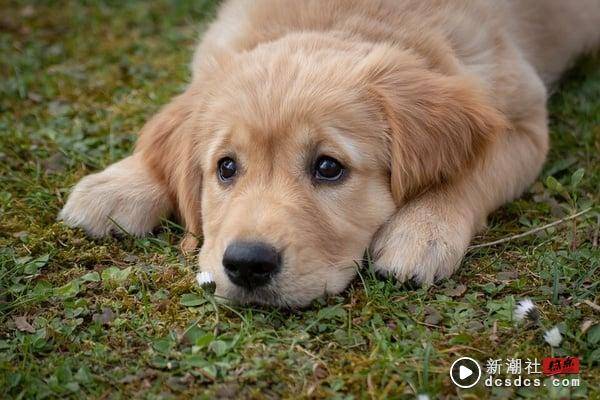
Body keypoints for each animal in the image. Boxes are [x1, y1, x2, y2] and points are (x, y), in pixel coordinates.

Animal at [59, 0, 600, 306]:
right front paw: (120, 184)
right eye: (225, 167)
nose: (247, 265)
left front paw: (422, 230)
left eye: (328, 167)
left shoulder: (523, 120)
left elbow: (472, 171)